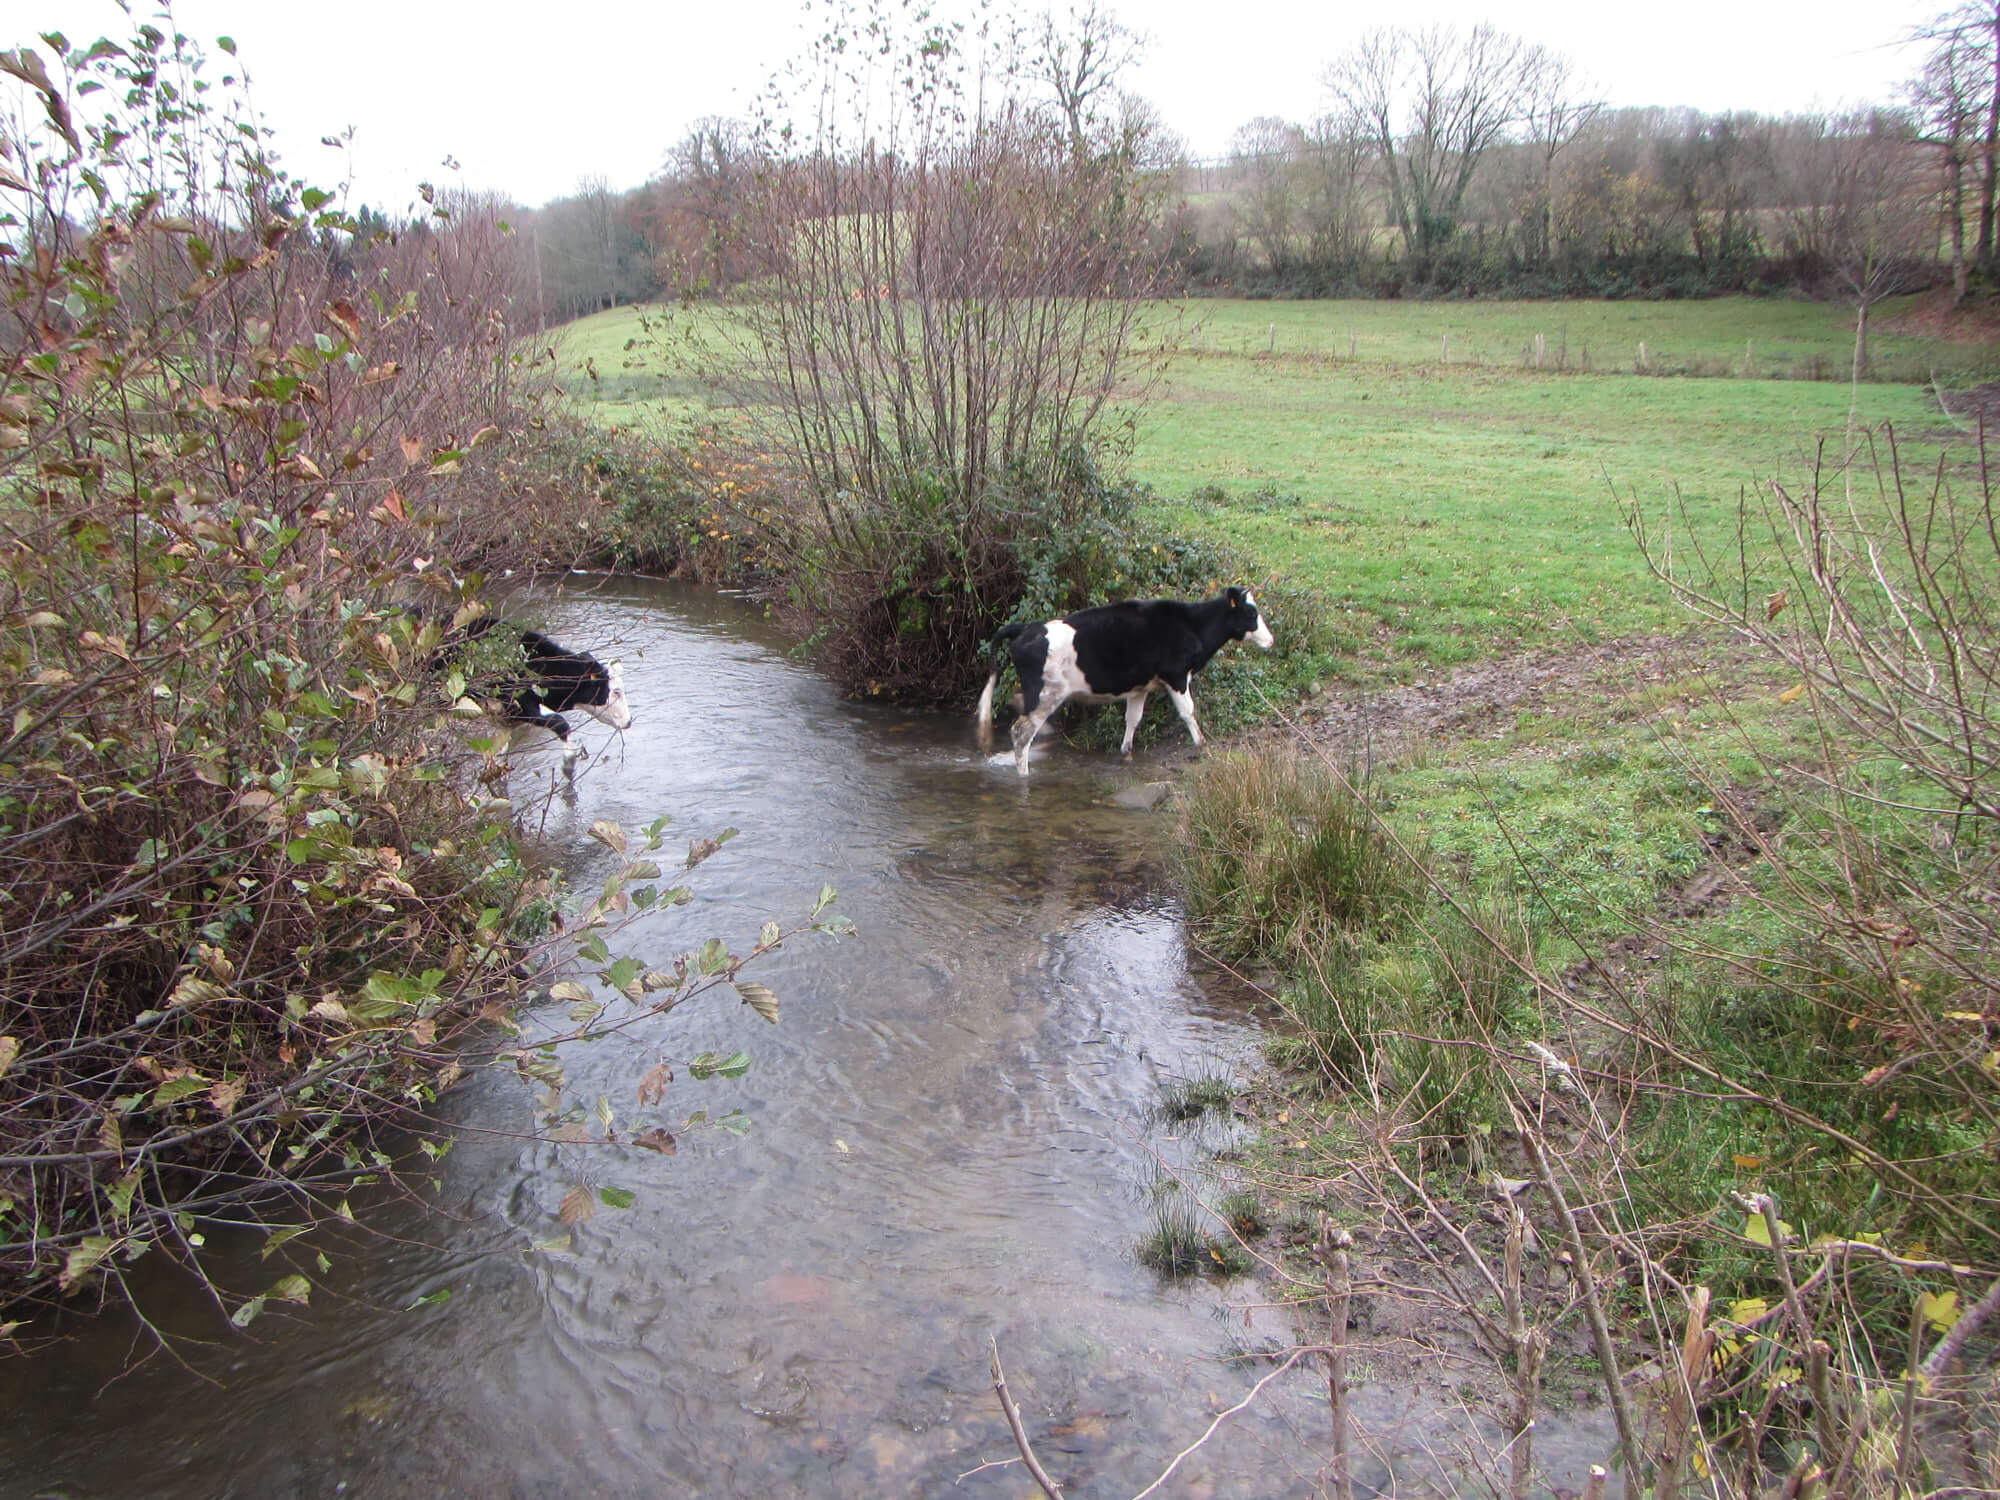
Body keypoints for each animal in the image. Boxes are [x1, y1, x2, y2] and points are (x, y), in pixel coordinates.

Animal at [972, 588, 1280, 780]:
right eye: (1251, 614)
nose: (1271, 641)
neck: (1191, 625)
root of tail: (1026, 627)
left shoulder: (1140, 688)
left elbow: (1133, 720)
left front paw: (1126, 754)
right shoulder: (1177, 675)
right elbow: (1188, 712)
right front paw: (1202, 745)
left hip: (1038, 693)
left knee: (1016, 707)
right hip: (1047, 695)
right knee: (1020, 733)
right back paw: (1024, 775)